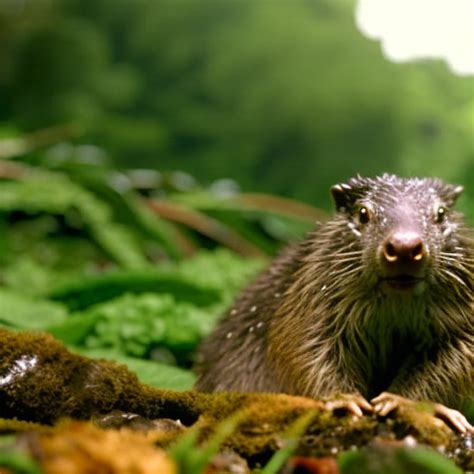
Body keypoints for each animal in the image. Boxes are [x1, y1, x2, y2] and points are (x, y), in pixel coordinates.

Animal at [195, 174, 474, 434]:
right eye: (363, 213)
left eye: (441, 213)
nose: (405, 247)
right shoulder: (308, 311)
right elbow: (303, 351)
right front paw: (343, 399)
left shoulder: (461, 329)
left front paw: (405, 402)